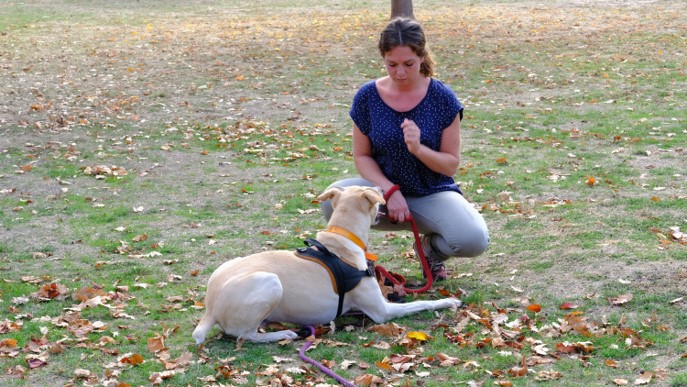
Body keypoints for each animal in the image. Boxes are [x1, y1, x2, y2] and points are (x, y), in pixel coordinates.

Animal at [192, 186, 462, 344]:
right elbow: (422, 302)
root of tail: (210, 308)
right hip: (269, 281)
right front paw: (448, 301)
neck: (343, 237)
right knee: (244, 334)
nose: (382, 187)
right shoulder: (382, 311)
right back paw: (283, 333)